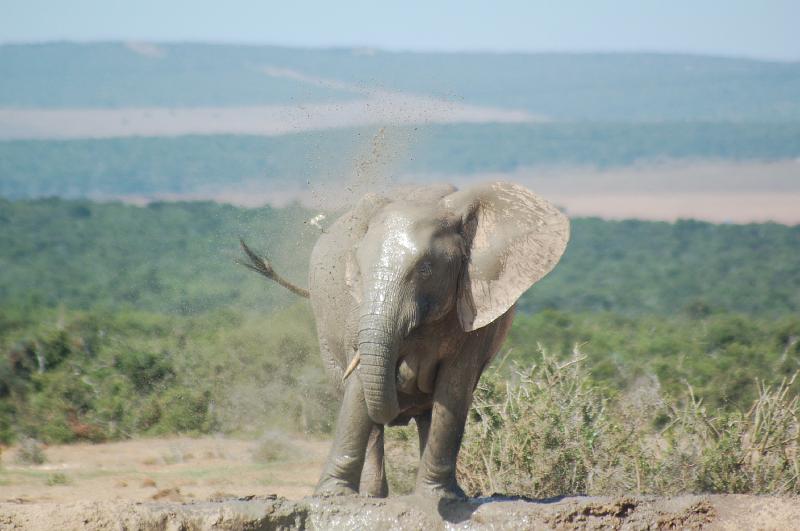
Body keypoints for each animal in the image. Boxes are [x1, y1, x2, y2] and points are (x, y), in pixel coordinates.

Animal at [240, 181, 569, 499]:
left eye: (425, 269)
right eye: (359, 270)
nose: (403, 377)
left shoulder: (476, 310)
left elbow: (454, 387)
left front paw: (440, 498)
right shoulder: (356, 313)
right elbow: (358, 388)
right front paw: (333, 496)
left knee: (428, 415)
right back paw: (372, 496)